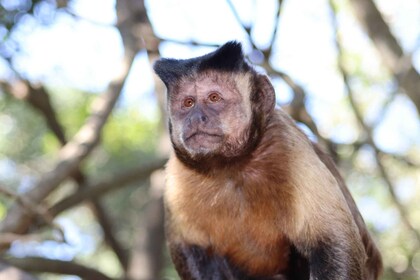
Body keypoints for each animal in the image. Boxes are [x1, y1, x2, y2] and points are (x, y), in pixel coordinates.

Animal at [153, 41, 382, 280]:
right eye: (188, 103)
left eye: (214, 98)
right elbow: (189, 248)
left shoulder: (286, 143)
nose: (196, 117)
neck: (231, 166)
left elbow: (334, 242)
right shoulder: (178, 173)